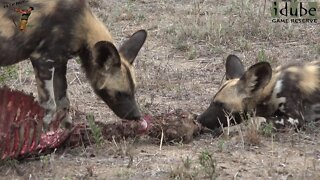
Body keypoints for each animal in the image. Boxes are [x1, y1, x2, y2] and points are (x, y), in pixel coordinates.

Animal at [0, 0, 148, 127]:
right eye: (119, 93)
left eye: (133, 91)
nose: (137, 115)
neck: (80, 23)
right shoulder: (42, 60)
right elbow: (50, 107)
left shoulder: (59, 64)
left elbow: (63, 103)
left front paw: (67, 134)